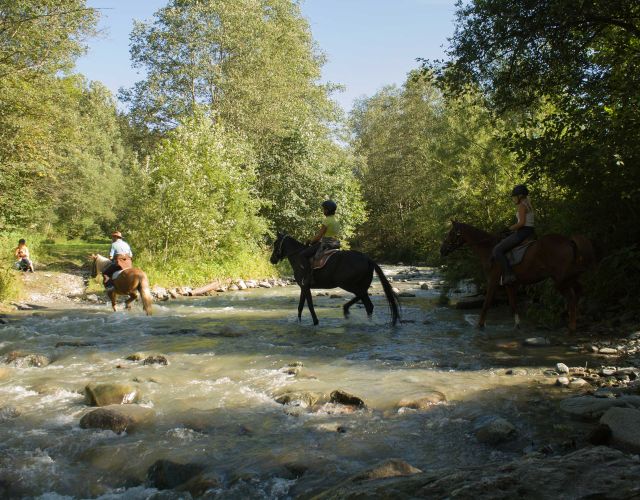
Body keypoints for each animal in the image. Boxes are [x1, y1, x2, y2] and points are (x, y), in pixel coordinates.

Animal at [270, 233, 400, 326]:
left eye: (276, 243)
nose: (272, 260)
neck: (297, 257)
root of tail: (367, 258)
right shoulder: (303, 287)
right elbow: (300, 307)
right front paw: (299, 322)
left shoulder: (305, 286)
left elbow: (309, 305)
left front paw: (315, 322)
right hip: (359, 284)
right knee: (365, 300)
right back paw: (352, 313)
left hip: (346, 284)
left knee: (365, 300)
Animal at [440, 221, 595, 332]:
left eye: (451, 233)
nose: (442, 250)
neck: (488, 249)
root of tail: (569, 241)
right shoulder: (509, 284)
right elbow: (513, 305)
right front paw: (517, 326)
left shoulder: (493, 282)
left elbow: (486, 304)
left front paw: (480, 326)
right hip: (570, 277)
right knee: (579, 292)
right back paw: (577, 320)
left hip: (560, 280)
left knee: (571, 297)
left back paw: (571, 326)